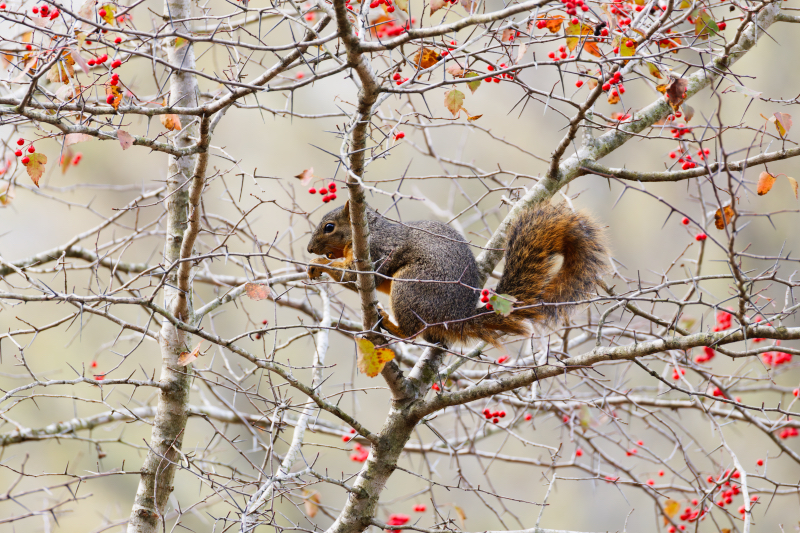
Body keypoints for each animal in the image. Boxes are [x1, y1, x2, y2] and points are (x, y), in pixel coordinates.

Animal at [306, 202, 608, 348]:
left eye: (329, 227)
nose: (309, 247)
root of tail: (457, 316)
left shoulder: (379, 251)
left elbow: (355, 276)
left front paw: (319, 263)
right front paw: (314, 263)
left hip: (409, 288)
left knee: (411, 333)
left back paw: (389, 324)